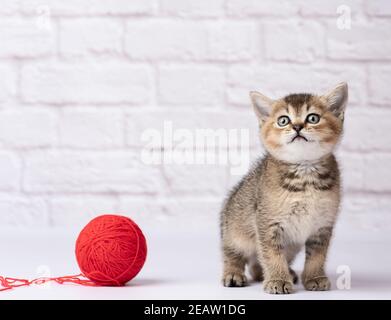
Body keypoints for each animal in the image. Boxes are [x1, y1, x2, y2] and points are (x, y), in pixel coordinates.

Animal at [220, 83, 350, 296]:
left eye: (313, 118)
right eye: (283, 120)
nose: (297, 126)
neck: (305, 174)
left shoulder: (322, 224)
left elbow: (317, 256)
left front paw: (314, 277)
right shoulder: (267, 223)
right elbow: (272, 254)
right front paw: (278, 280)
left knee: (256, 266)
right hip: (234, 231)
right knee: (234, 254)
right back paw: (233, 273)